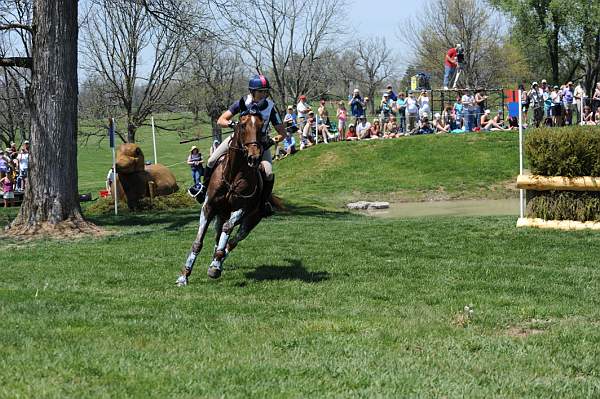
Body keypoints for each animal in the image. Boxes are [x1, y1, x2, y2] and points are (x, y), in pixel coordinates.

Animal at [176, 101, 274, 286]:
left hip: (250, 220)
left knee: (233, 240)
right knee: (218, 235)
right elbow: (198, 243)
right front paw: (184, 276)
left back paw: (217, 264)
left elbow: (228, 230)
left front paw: (215, 266)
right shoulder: (208, 207)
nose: (254, 158)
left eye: (261, 126)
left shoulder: (242, 208)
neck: (233, 175)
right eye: (242, 125)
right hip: (220, 215)